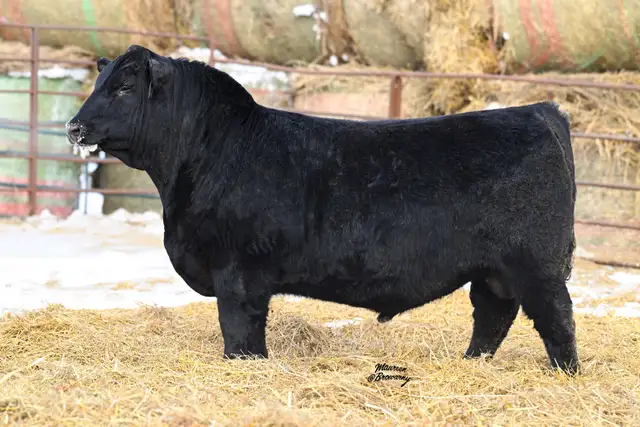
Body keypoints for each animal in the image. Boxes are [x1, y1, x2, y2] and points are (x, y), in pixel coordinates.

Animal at [66, 45, 579, 375]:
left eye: (125, 87)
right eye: (99, 82)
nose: (74, 126)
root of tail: (539, 111)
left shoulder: (237, 271)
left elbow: (239, 327)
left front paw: (243, 365)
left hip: (536, 265)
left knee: (556, 318)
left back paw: (565, 374)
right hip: (492, 270)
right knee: (492, 316)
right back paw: (470, 365)